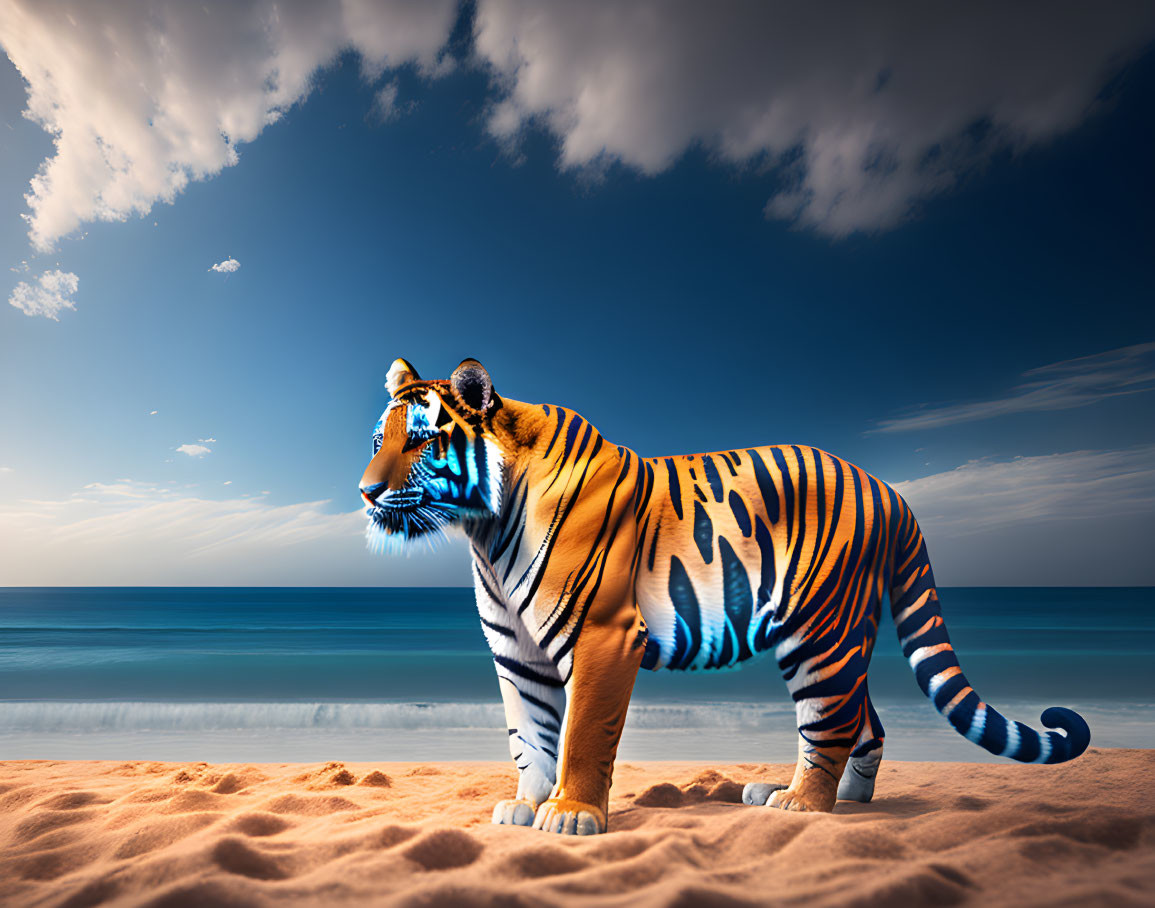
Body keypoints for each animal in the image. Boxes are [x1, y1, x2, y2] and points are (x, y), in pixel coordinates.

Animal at [360, 358, 1090, 836]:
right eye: (378, 440)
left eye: (422, 441)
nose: (367, 492)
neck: (484, 526)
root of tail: (886, 488)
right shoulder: (518, 654)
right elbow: (530, 734)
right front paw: (525, 804)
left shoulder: (601, 636)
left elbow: (581, 734)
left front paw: (570, 814)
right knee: (867, 719)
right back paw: (841, 800)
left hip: (820, 632)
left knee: (833, 718)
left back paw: (803, 803)